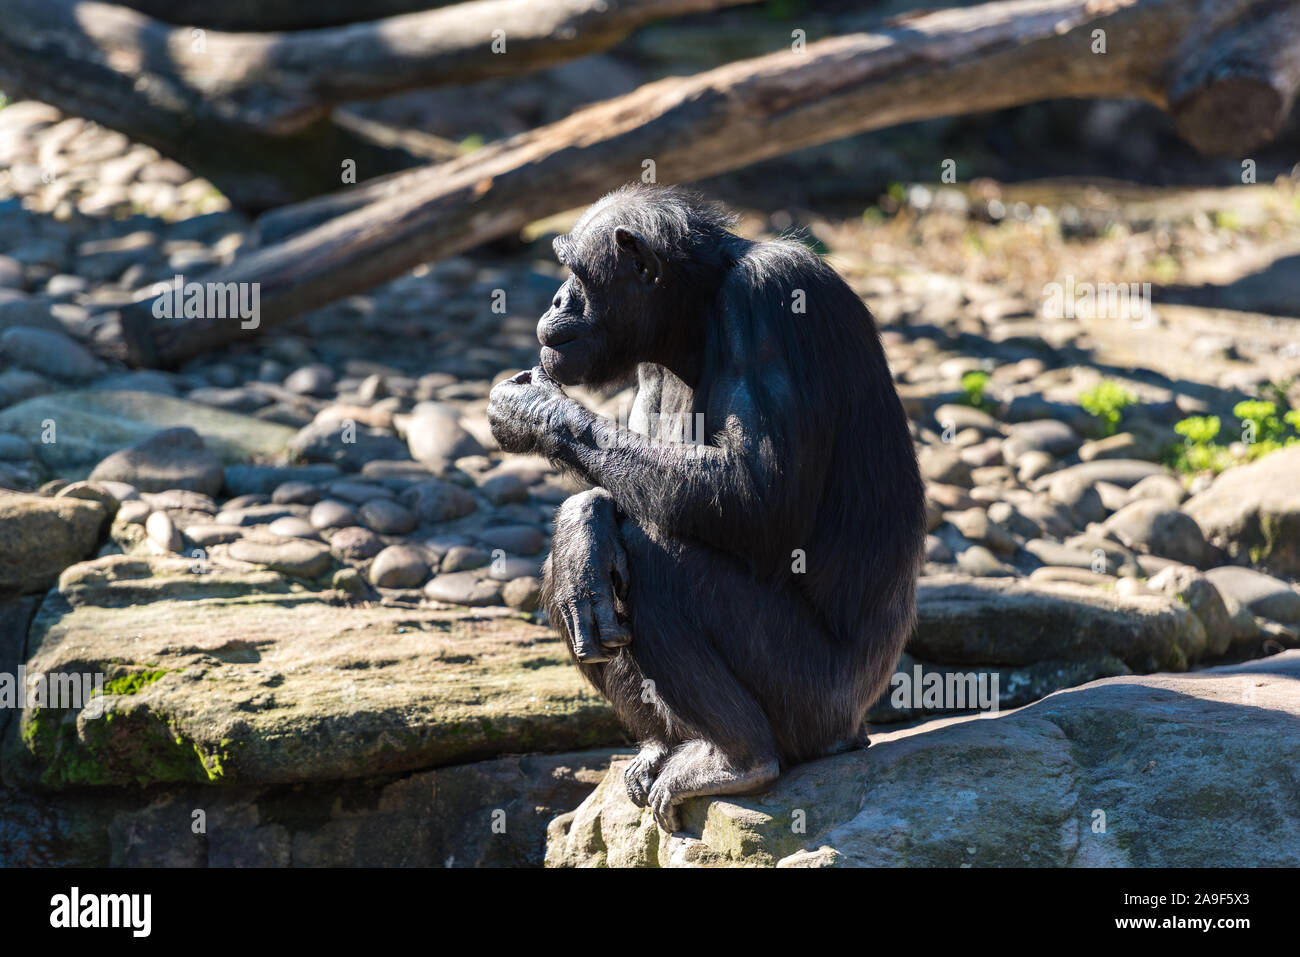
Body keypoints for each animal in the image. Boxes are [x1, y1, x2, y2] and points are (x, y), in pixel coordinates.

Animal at [488, 184, 925, 832]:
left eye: (575, 271)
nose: (557, 296)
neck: (694, 316)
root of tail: (854, 730)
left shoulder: (771, 300)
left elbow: (752, 494)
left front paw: (533, 408)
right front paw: (580, 522)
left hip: (812, 699)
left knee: (655, 558)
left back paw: (735, 759)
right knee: (597, 576)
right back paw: (663, 744)